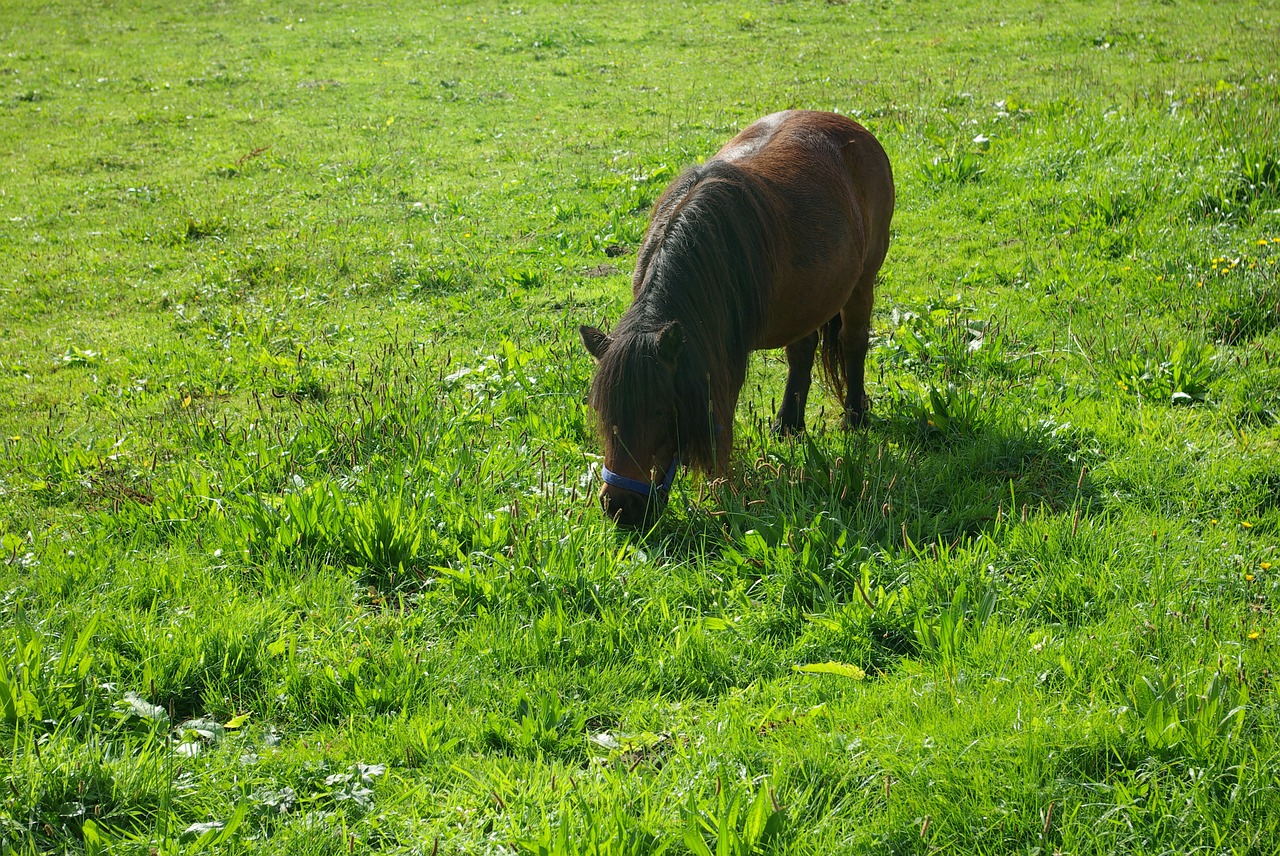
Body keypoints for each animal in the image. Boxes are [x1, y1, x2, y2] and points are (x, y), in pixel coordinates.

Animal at [578, 110, 890, 524]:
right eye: (603, 410)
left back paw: (854, 417)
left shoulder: (725, 359)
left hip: (862, 282)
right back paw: (787, 425)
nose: (619, 507)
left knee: (853, 344)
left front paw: (720, 490)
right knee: (801, 352)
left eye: (660, 411)